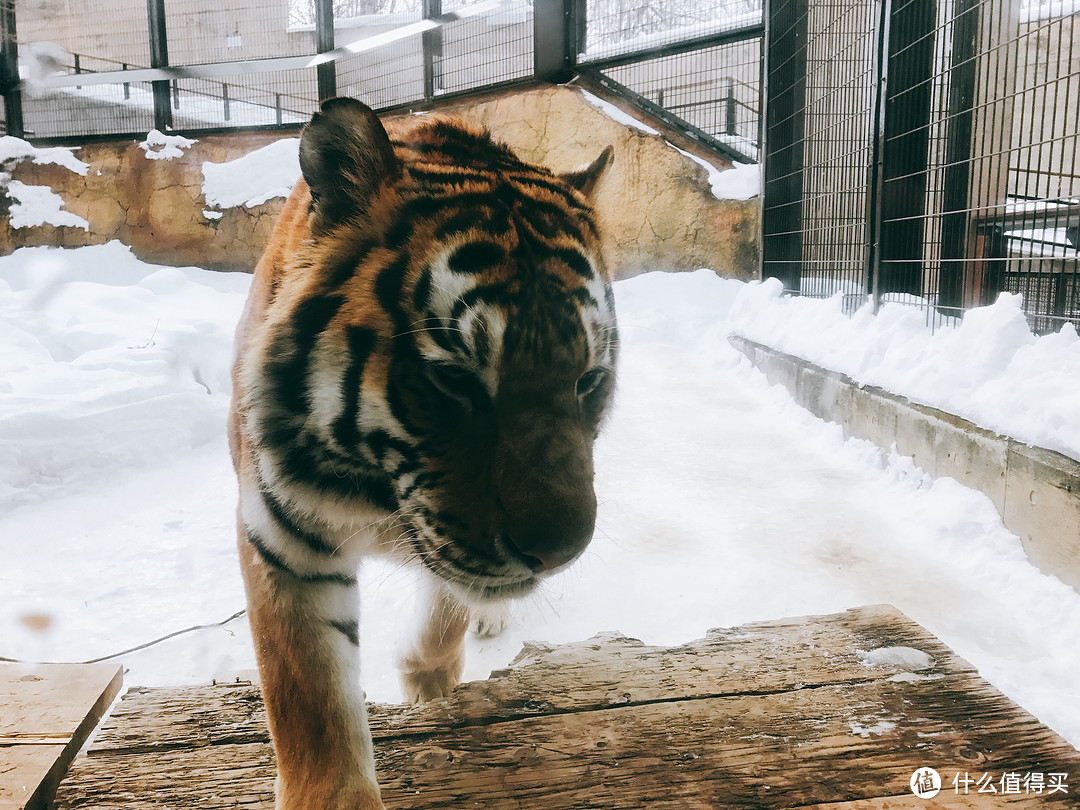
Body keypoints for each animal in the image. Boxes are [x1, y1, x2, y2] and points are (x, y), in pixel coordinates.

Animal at [227, 96, 617, 810]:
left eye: (586, 380)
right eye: (454, 380)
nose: (560, 551)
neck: (375, 491)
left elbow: (449, 605)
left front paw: (426, 682)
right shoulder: (283, 538)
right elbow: (309, 696)